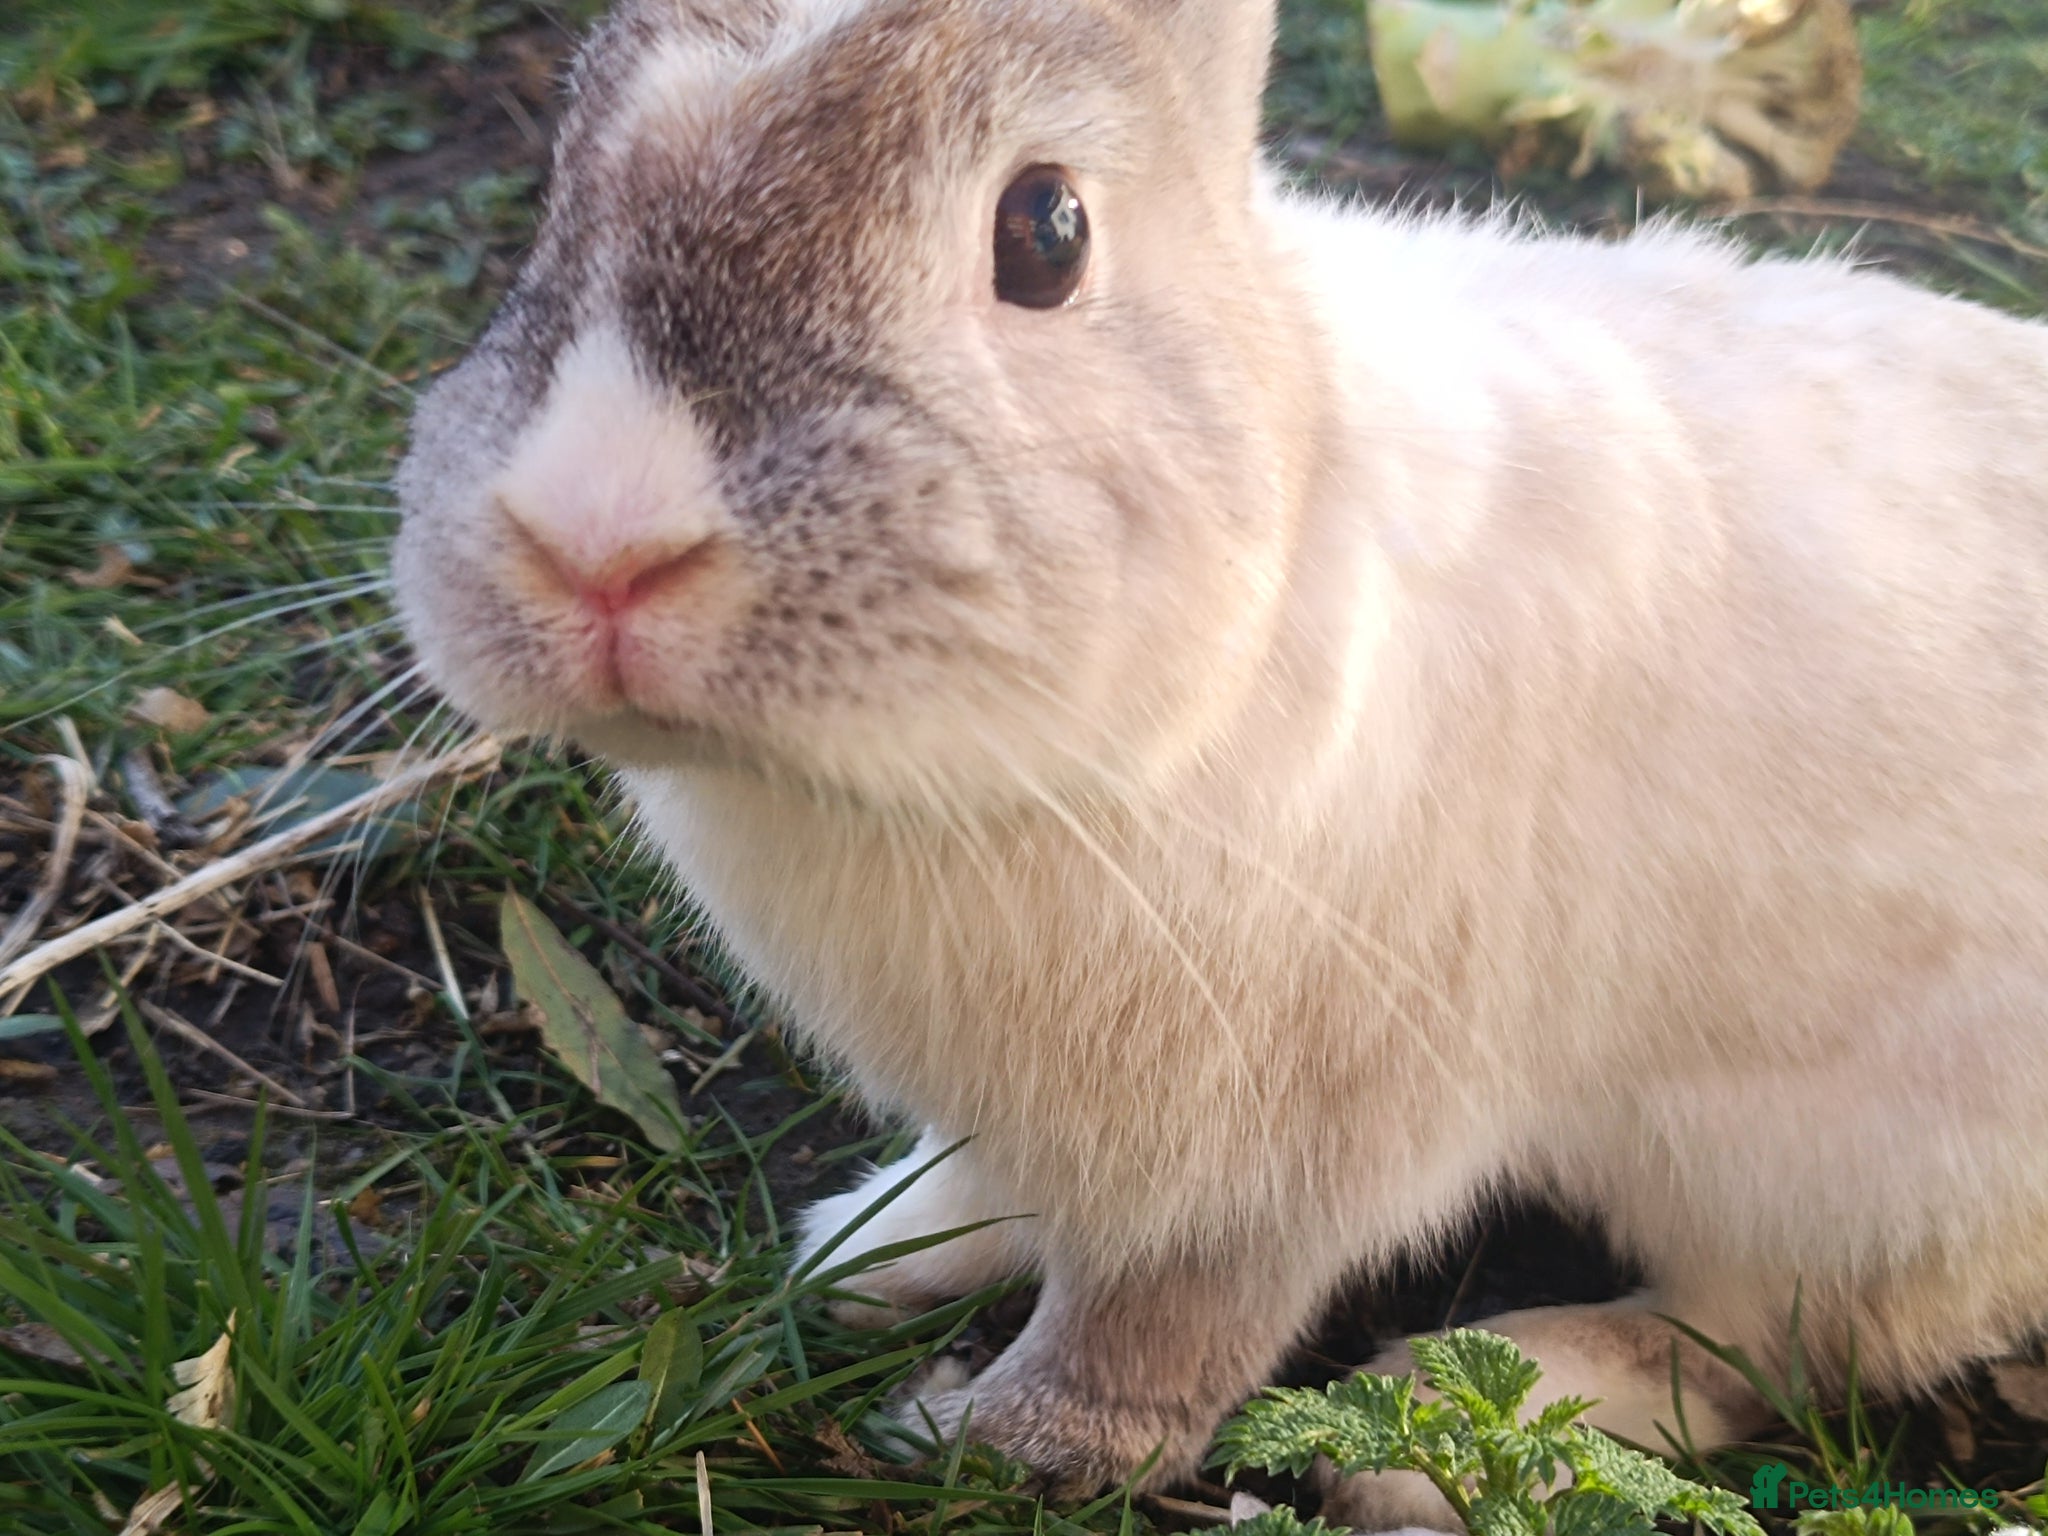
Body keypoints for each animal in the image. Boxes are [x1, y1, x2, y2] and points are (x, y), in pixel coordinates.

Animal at [391, 0, 2048, 1519]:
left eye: (1046, 232)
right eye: (563, 179)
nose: (597, 543)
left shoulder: (1263, 1155)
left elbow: (1154, 1332)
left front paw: (987, 1441)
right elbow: (984, 1186)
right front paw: (866, 1249)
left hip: (1835, 1179)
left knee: (1768, 1340)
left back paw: (1445, 1426)